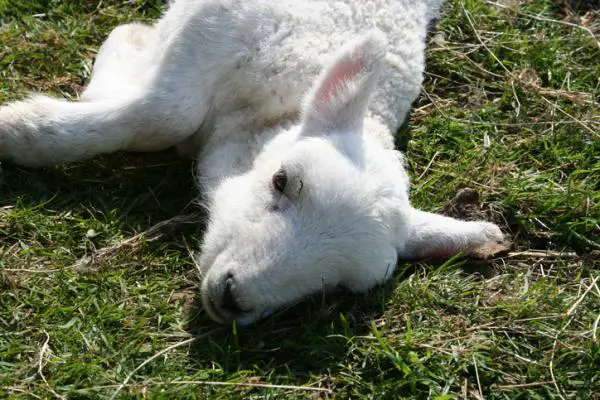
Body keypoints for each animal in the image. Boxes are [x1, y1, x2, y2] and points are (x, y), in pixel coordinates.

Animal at [0, 0, 506, 324]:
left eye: (342, 288)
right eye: (282, 180)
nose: (233, 297)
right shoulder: (214, 26)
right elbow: (167, 113)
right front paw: (18, 129)